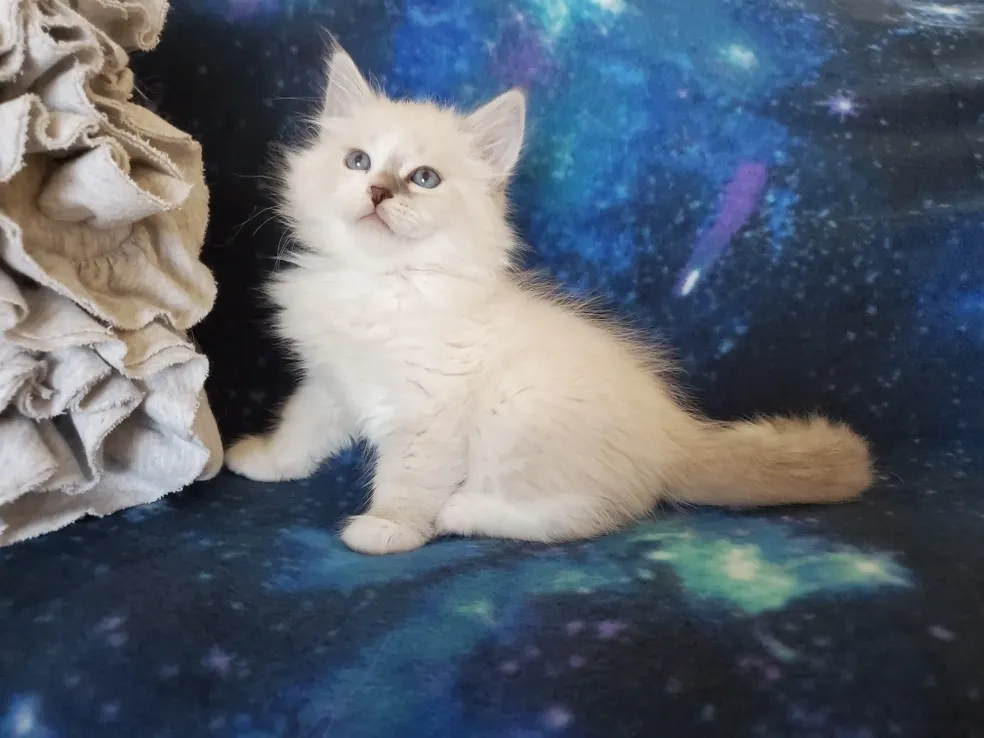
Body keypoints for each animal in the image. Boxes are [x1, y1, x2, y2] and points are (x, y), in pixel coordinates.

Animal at [225, 45, 873, 555]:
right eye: (358, 162)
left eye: (424, 179)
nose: (379, 191)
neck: (380, 282)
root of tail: (675, 435)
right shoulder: (331, 382)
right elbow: (300, 430)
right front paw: (260, 460)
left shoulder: (429, 411)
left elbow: (408, 481)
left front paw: (389, 529)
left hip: (518, 407)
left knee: (592, 516)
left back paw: (465, 511)